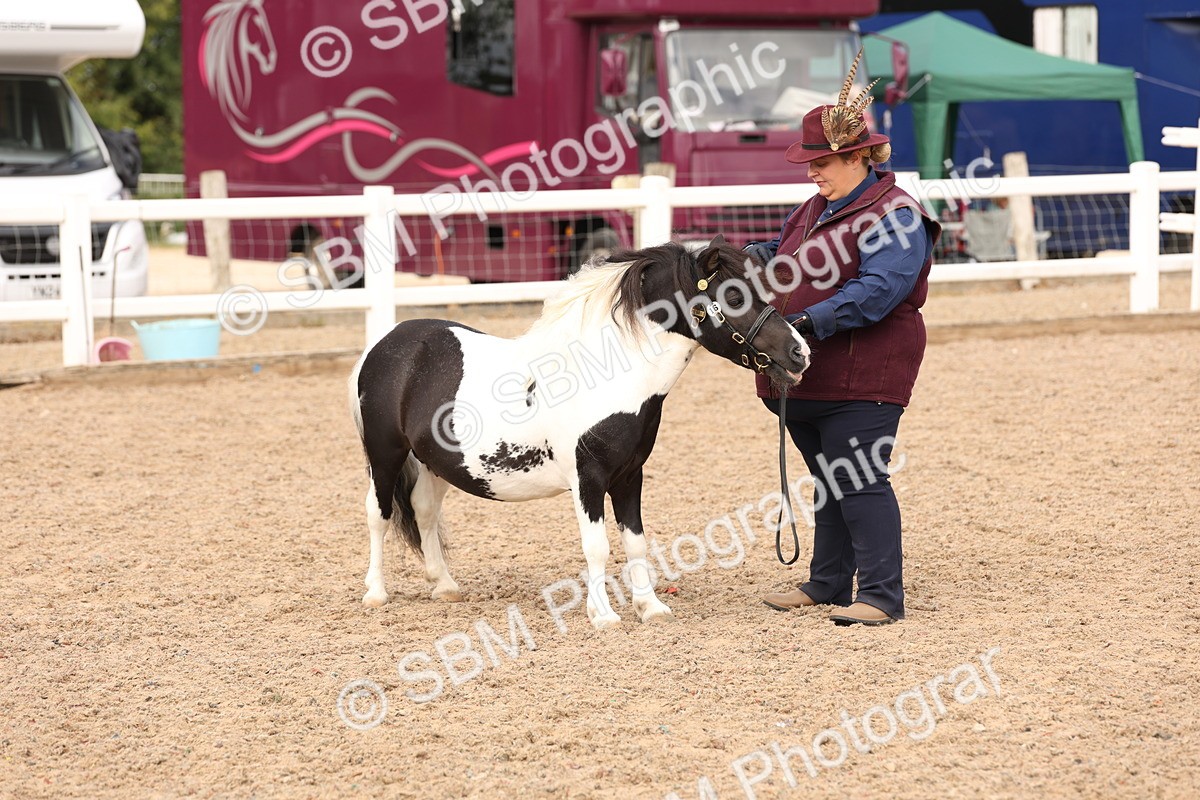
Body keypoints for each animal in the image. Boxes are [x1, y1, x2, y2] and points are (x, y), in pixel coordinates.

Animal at [347, 235, 810, 629]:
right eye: (732, 296)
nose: (800, 352)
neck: (601, 378)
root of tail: (386, 343)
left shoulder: (630, 477)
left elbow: (635, 542)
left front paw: (650, 607)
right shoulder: (588, 479)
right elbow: (597, 545)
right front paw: (602, 614)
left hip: (434, 462)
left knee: (424, 510)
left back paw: (444, 586)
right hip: (384, 454)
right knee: (378, 514)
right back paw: (376, 593)